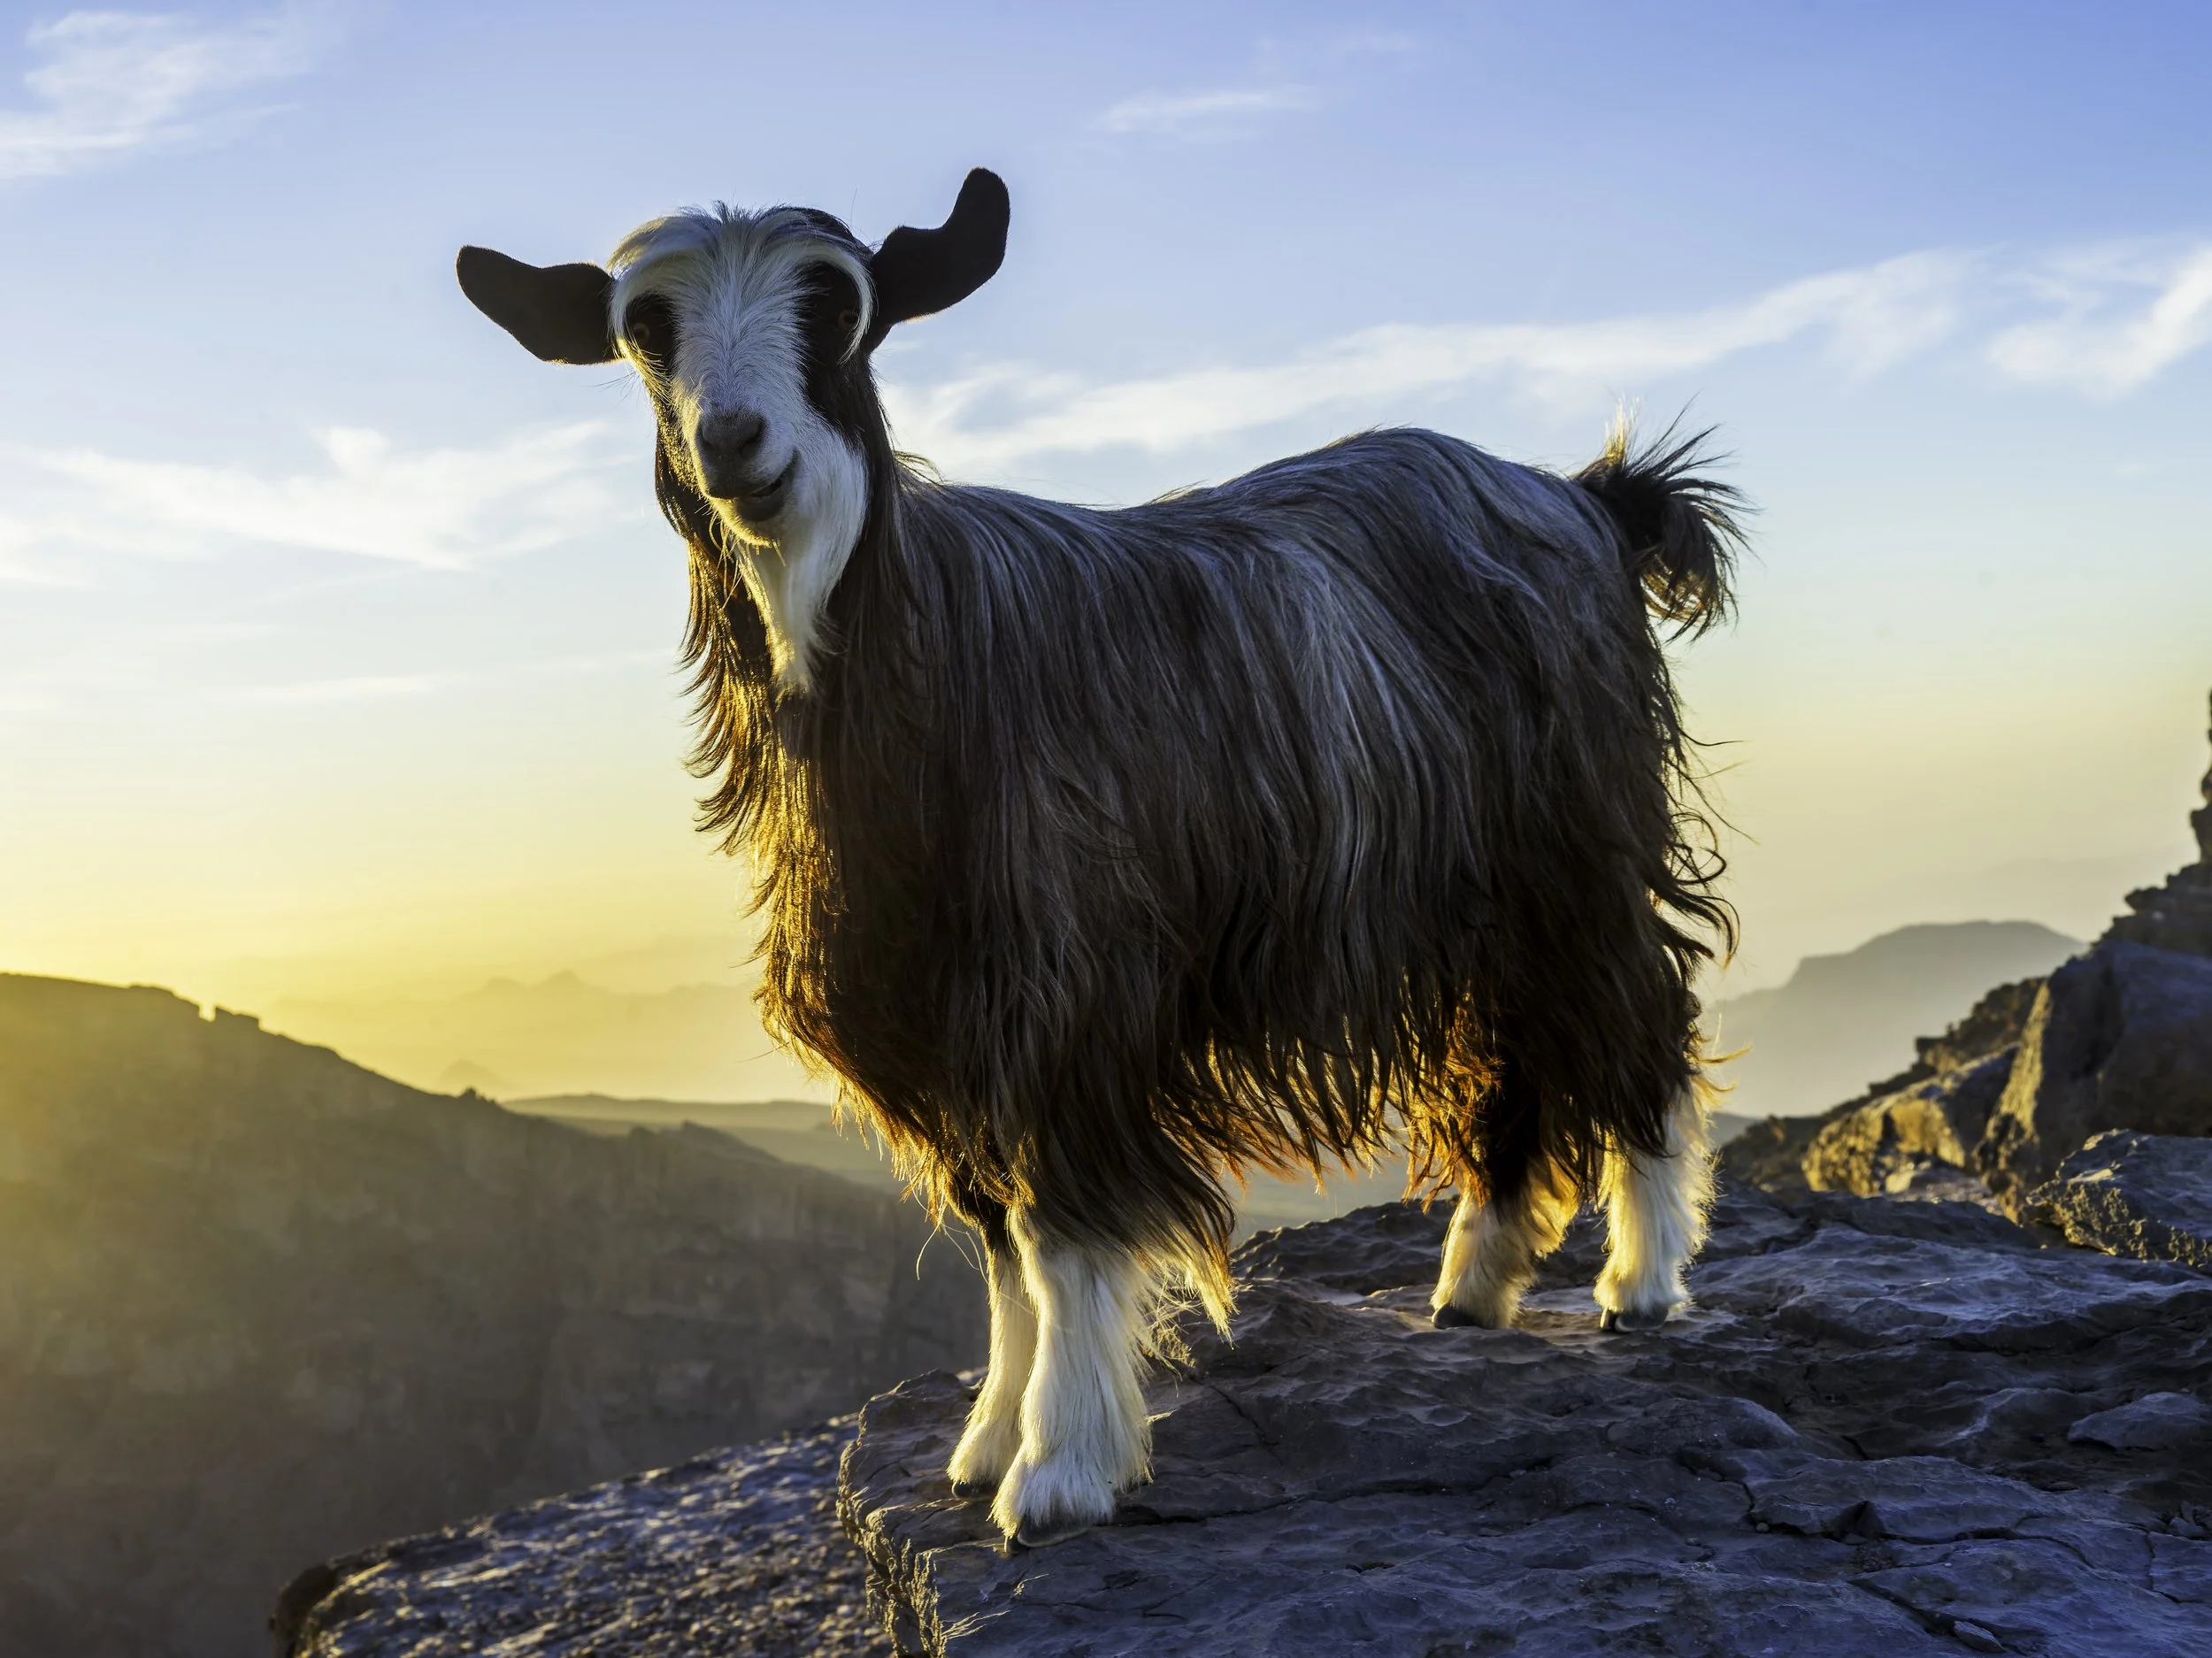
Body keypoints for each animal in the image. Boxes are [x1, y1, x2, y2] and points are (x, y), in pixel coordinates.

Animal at [458, 168, 1743, 1549]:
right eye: (647, 329)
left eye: (839, 310)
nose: (738, 442)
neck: (928, 659)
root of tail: (1587, 497)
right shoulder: (928, 1009)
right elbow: (997, 1240)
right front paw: (984, 1439)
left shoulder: (1068, 979)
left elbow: (1058, 1225)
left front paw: (1060, 1466)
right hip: (1469, 894)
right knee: (1505, 1048)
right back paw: (1476, 1279)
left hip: (1575, 841)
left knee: (1635, 1005)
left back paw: (1641, 1278)